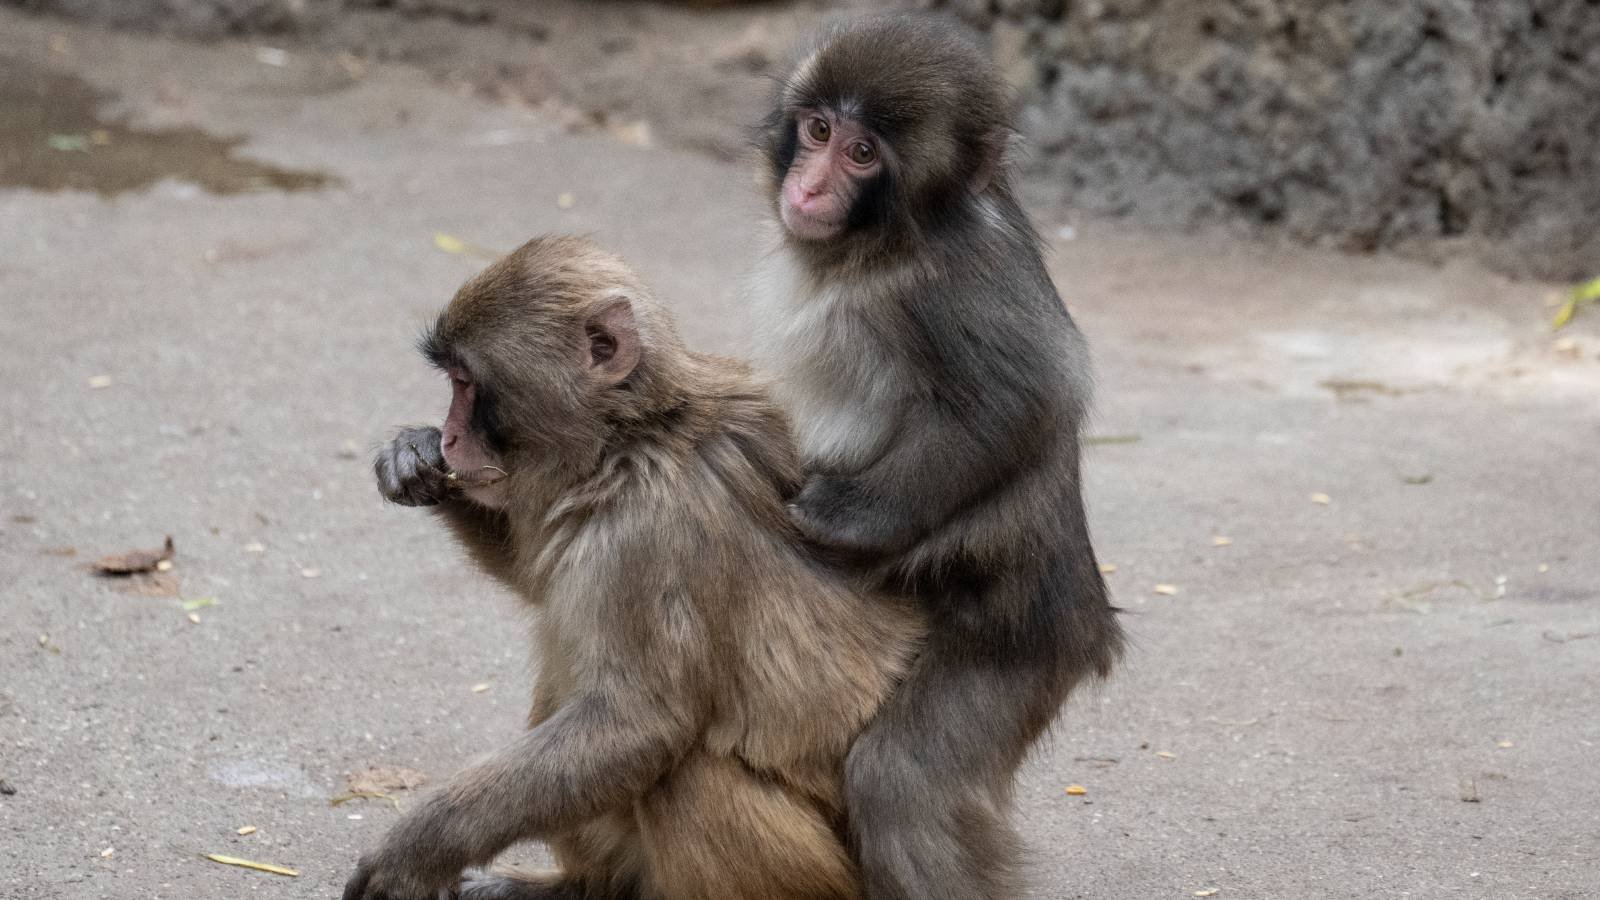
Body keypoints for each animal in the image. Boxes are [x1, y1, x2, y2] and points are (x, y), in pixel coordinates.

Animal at [344, 235, 923, 900]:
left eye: (466, 382)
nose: (451, 436)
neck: (630, 438)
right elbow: (535, 576)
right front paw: (411, 455)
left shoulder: (647, 529)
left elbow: (637, 726)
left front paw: (415, 850)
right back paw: (584, 886)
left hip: (821, 875)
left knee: (686, 774)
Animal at [747, 15, 1126, 900]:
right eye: (818, 132)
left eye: (862, 154)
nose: (808, 189)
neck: (885, 243)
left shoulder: (946, 288)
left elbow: (1028, 397)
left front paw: (845, 518)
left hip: (1017, 646)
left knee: (902, 778)